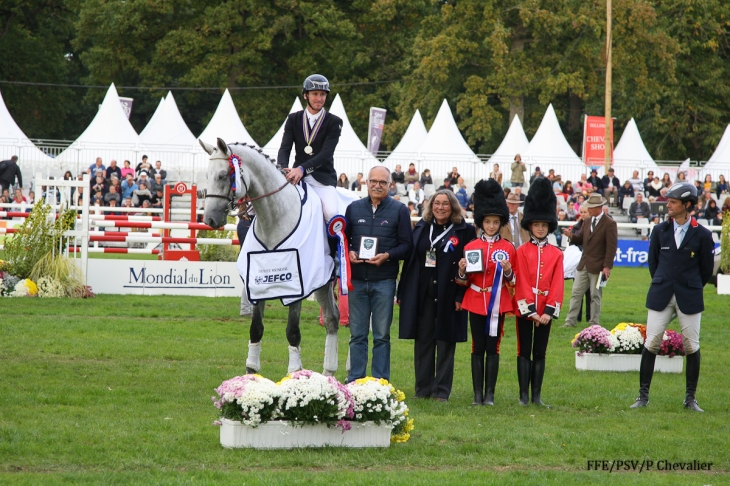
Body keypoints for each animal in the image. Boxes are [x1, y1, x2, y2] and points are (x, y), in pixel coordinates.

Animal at [200, 137, 340, 376]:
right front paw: (251, 372)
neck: (275, 220)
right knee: (332, 319)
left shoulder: (299, 285)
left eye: (223, 175)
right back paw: (329, 375)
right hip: (322, 283)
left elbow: (292, 330)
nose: (209, 220)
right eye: (207, 176)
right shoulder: (257, 282)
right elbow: (256, 328)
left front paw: (295, 372)